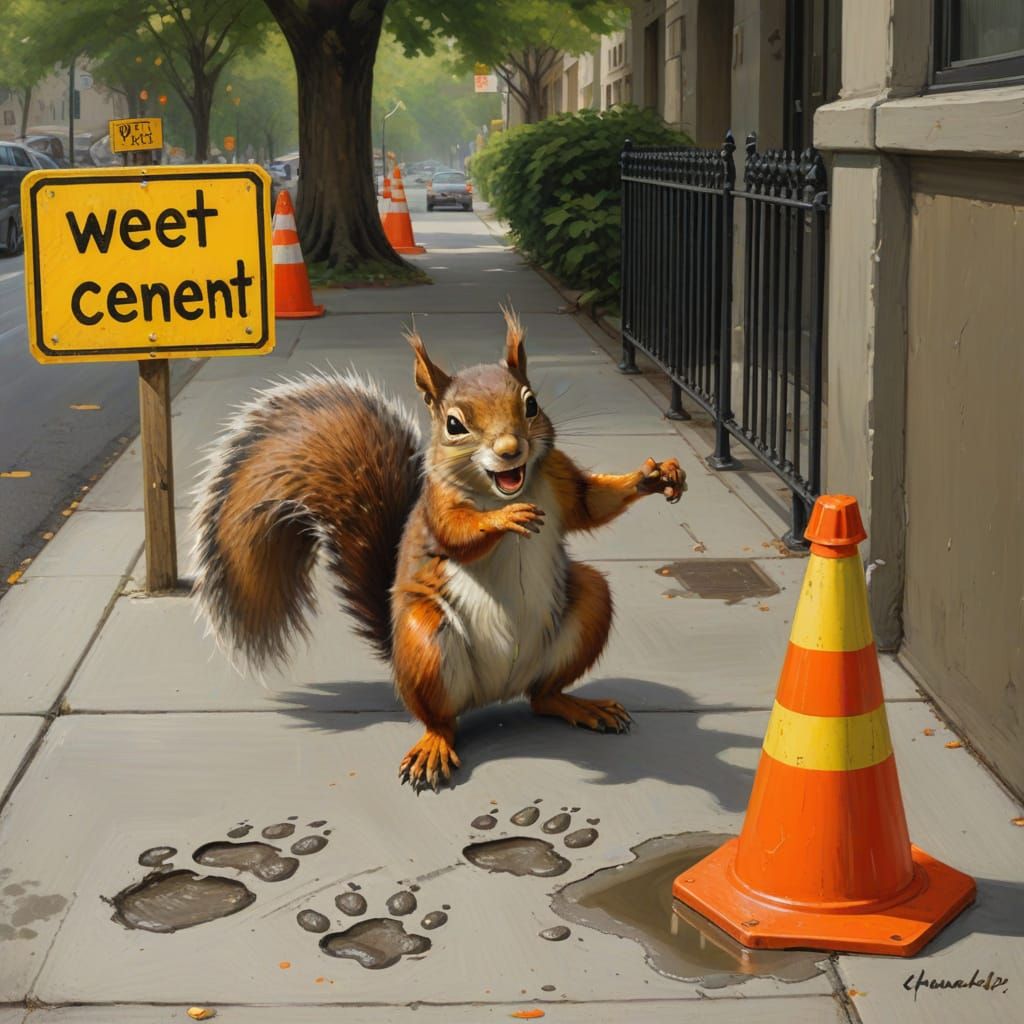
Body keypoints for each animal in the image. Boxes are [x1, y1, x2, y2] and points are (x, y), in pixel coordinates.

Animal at [191, 308, 685, 791]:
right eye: (454, 424)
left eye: (531, 404)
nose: (511, 449)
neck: (504, 488)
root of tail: (496, 691)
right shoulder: (437, 505)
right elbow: (457, 535)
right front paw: (502, 520)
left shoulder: (560, 477)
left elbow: (592, 504)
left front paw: (656, 475)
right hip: (424, 639)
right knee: (441, 719)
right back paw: (434, 746)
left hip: (586, 605)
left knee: (543, 696)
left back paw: (581, 706)